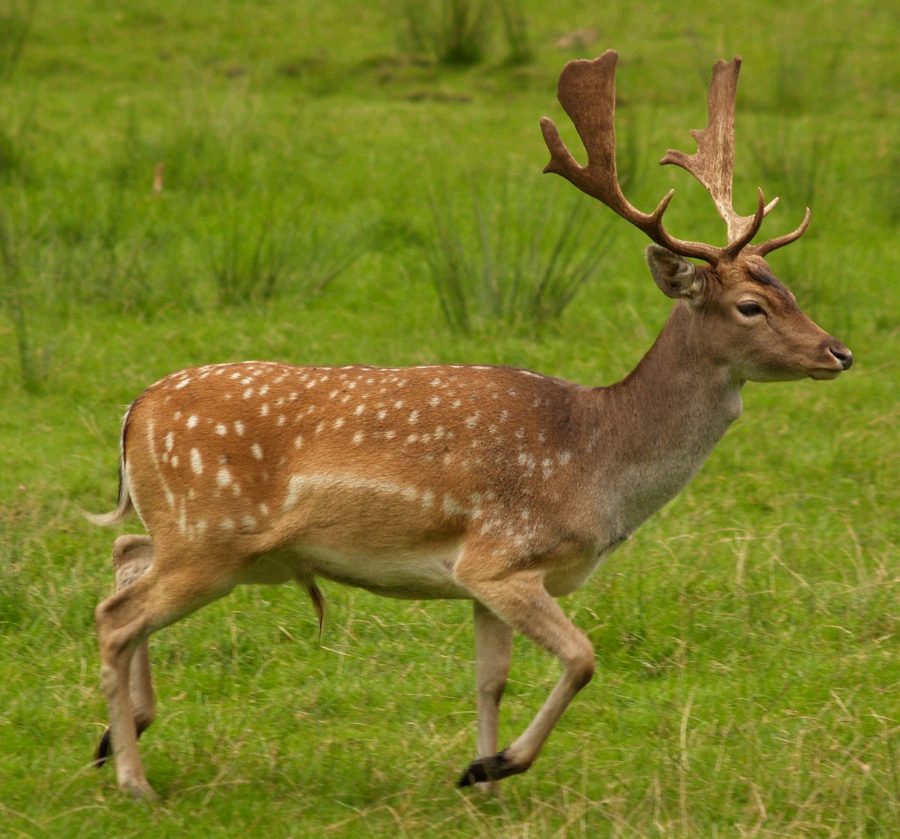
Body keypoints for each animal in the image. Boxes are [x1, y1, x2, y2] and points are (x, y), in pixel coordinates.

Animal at [90, 50, 852, 800]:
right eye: (751, 305)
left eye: (791, 290)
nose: (839, 351)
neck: (598, 463)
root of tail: (134, 410)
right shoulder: (501, 556)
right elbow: (582, 657)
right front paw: (496, 765)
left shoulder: (483, 580)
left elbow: (491, 680)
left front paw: (481, 781)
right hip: (209, 537)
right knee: (116, 616)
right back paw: (133, 779)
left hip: (202, 538)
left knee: (126, 555)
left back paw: (115, 736)